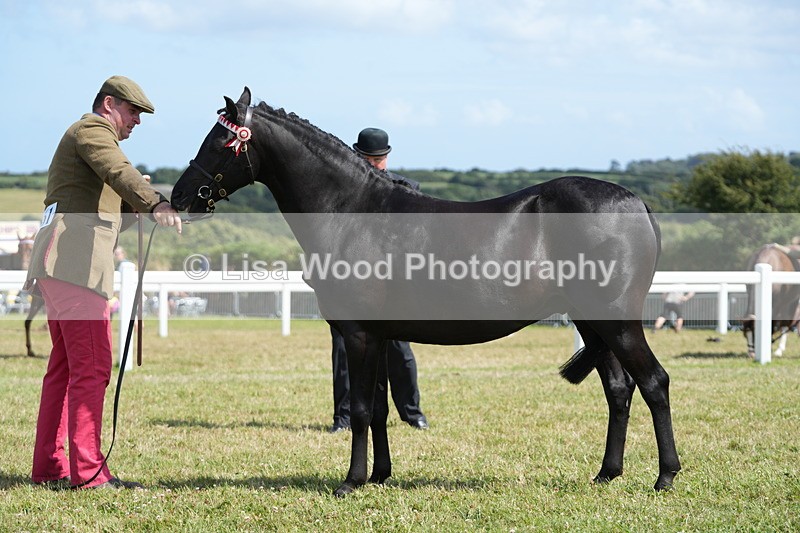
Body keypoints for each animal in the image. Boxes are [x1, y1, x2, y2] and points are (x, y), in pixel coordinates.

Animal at [170, 88, 680, 496]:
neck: (353, 212)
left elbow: (360, 409)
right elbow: (377, 408)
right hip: (593, 323)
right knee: (619, 389)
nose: (179, 197)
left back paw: (665, 476)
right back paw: (606, 473)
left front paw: (351, 482)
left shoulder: (358, 334)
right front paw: (380, 475)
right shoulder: (377, 335)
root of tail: (636, 202)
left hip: (617, 322)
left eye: (220, 141)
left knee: (654, 382)